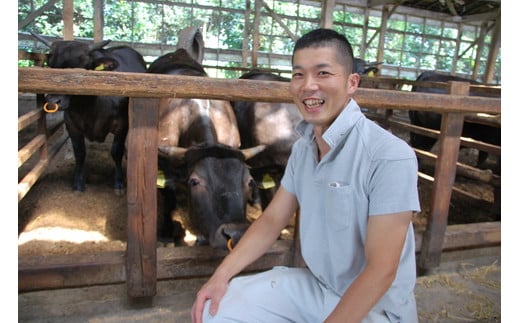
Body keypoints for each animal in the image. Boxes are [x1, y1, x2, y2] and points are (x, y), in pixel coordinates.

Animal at [31, 33, 146, 195]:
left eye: (82, 68)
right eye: (51, 65)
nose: (53, 101)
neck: (89, 109)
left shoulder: (122, 125)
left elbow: (116, 152)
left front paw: (119, 183)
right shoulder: (71, 125)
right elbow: (80, 153)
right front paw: (78, 183)